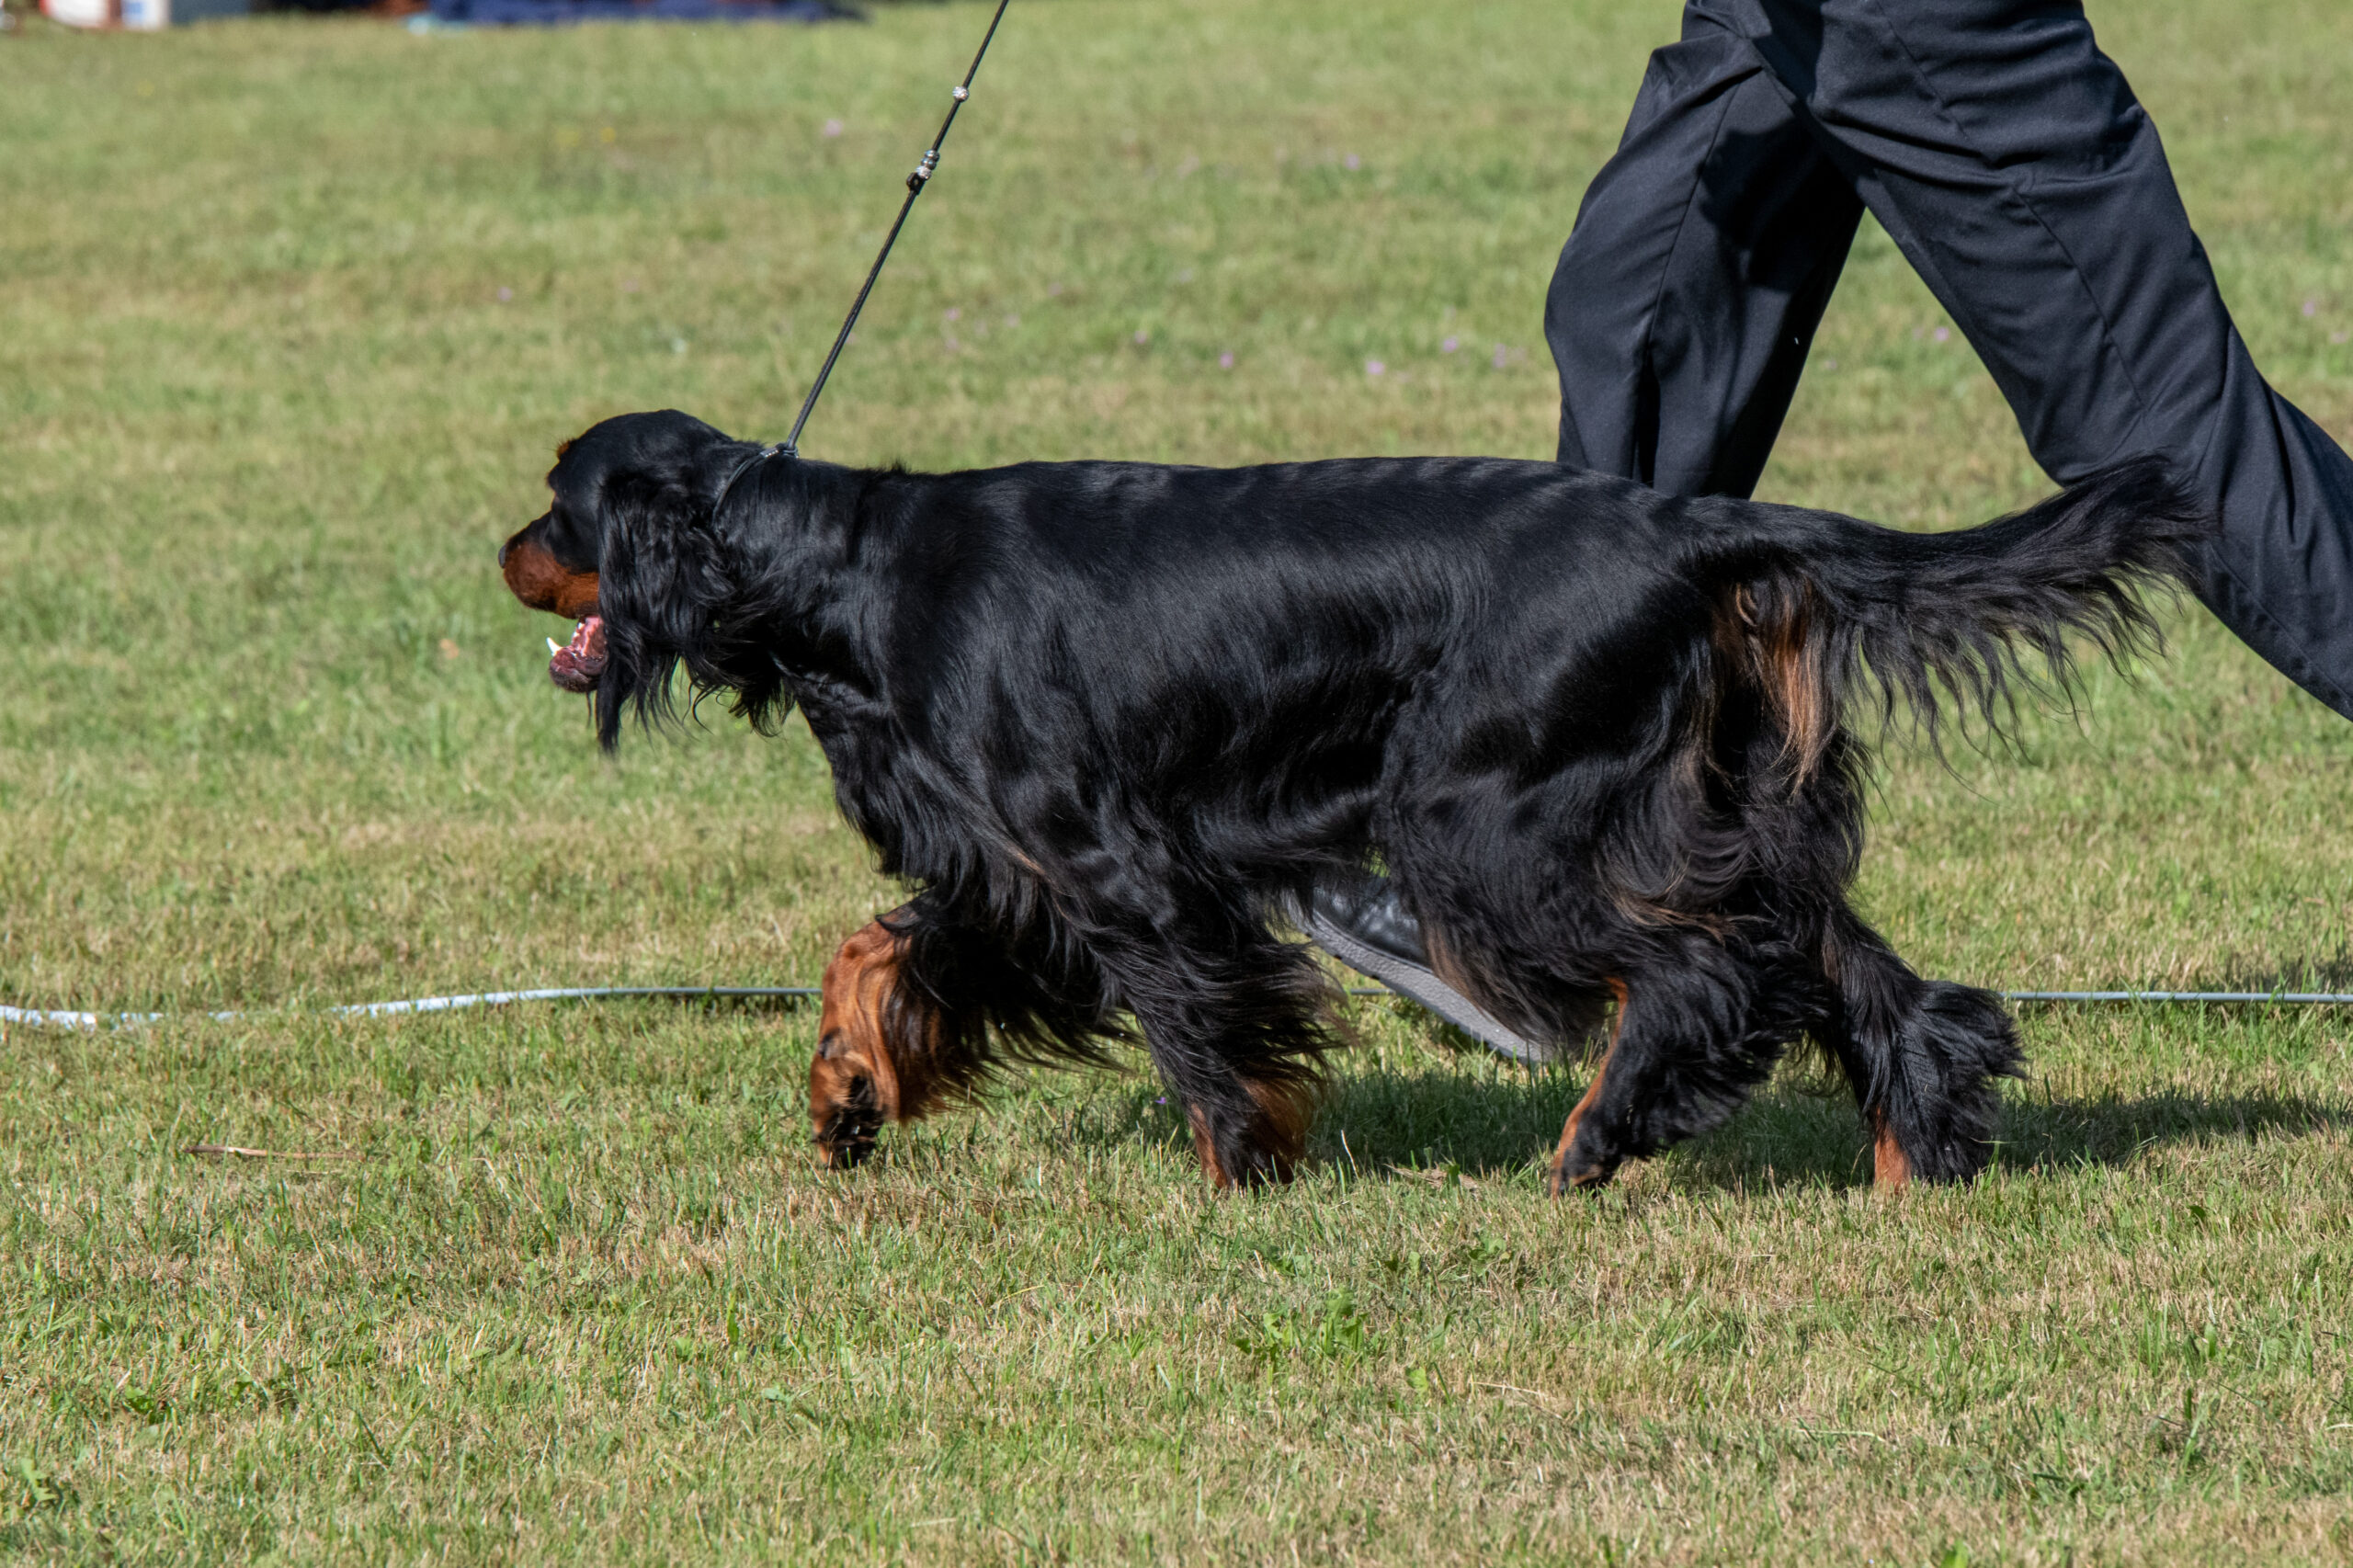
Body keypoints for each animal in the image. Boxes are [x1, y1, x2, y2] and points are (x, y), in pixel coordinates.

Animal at [500, 410, 2206, 1192]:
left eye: (558, 500)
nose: (499, 549)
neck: (849, 571)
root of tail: (1692, 526)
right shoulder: (1009, 872)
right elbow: (879, 949)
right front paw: (850, 1091)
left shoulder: (1111, 860)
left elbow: (1196, 1019)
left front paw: (1238, 1168)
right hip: (1702, 797)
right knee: (1825, 950)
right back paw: (1923, 1143)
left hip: (1490, 817)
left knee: (1711, 966)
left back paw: (1599, 1137)